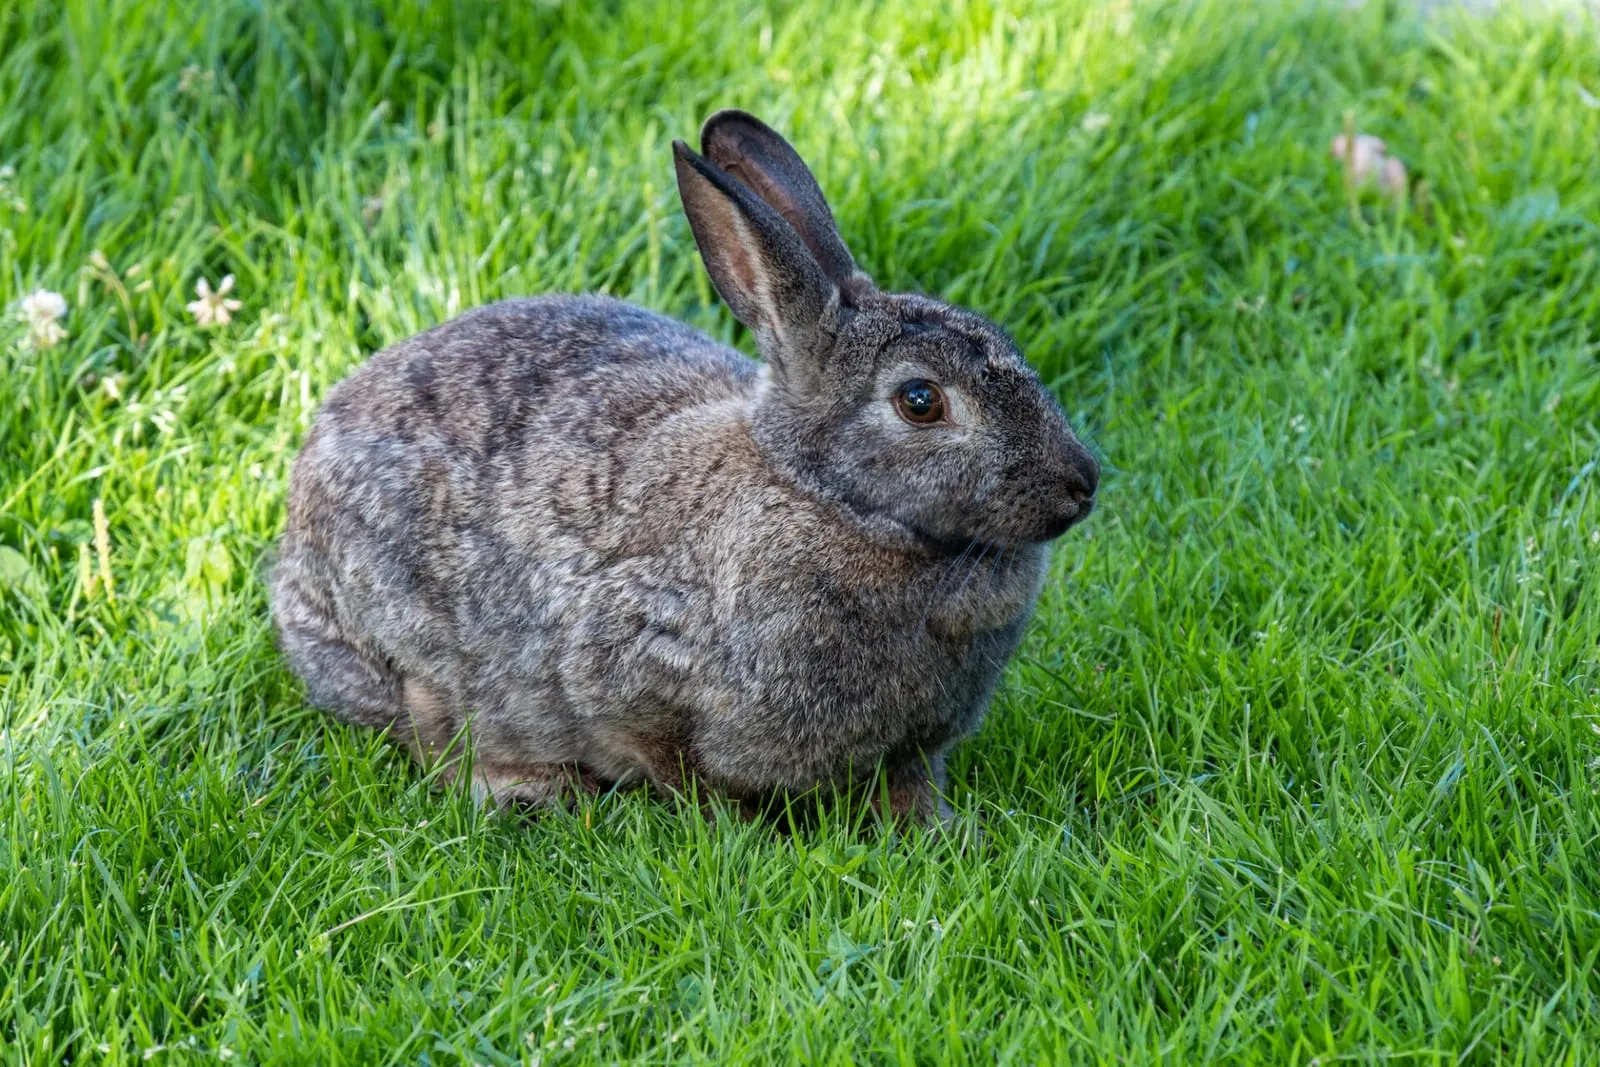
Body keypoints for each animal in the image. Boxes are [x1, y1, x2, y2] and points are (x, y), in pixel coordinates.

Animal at [269, 110, 1099, 826]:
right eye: (920, 400)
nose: (1082, 484)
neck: (823, 497)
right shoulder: (629, 670)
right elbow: (676, 767)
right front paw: (740, 835)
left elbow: (909, 786)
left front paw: (939, 831)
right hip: (401, 649)